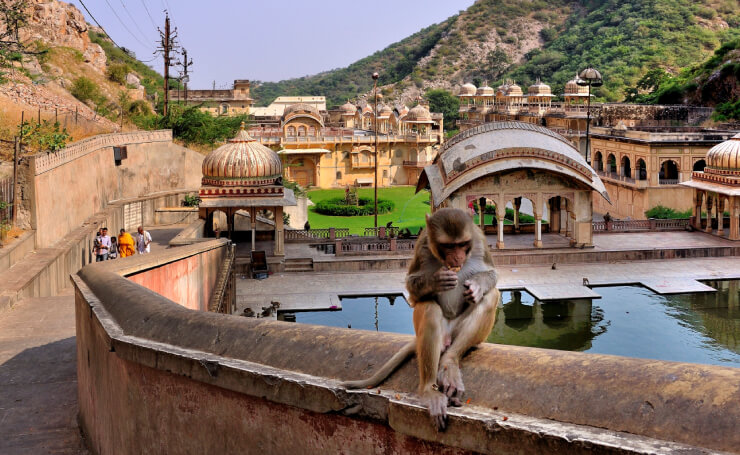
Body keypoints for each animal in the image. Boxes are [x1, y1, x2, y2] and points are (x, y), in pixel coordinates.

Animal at [344, 208, 500, 432]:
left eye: (462, 244)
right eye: (449, 246)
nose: (457, 256)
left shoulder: (479, 239)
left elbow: (492, 274)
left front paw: (477, 285)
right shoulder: (423, 244)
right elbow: (412, 285)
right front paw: (436, 280)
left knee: (490, 297)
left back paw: (449, 362)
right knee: (428, 308)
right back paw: (429, 391)